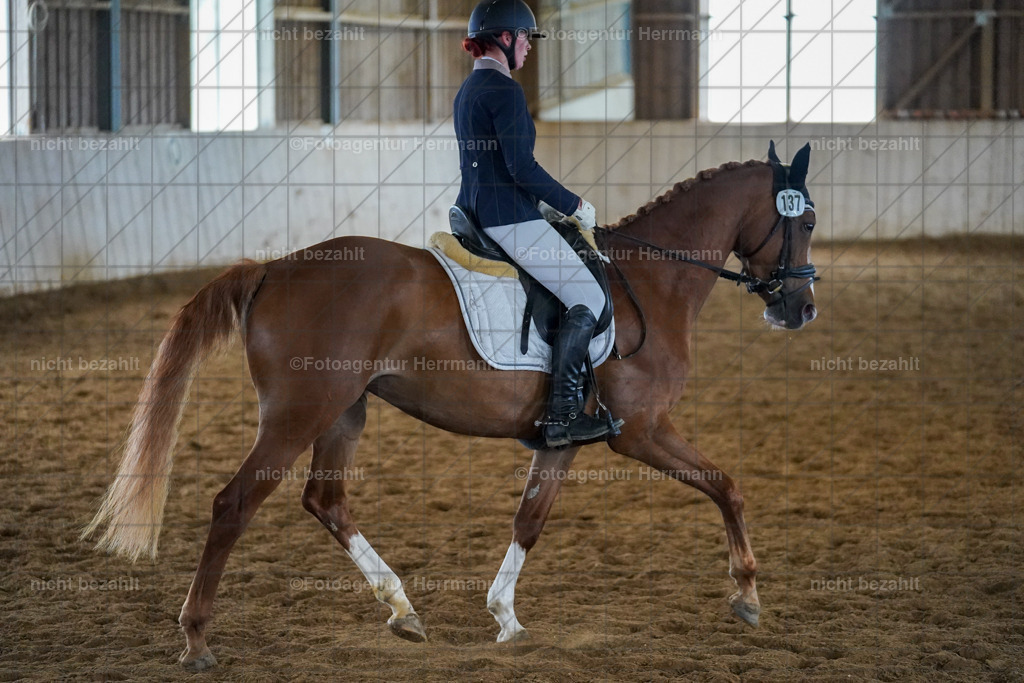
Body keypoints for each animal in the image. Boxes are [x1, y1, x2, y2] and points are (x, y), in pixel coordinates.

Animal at [83, 143, 819, 671]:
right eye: (806, 220)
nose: (801, 308)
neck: (651, 280)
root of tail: (272, 268)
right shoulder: (640, 431)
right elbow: (726, 484)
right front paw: (747, 593)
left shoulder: (564, 438)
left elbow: (530, 520)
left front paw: (506, 618)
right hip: (297, 414)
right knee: (234, 504)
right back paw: (196, 639)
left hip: (344, 411)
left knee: (325, 499)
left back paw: (402, 608)